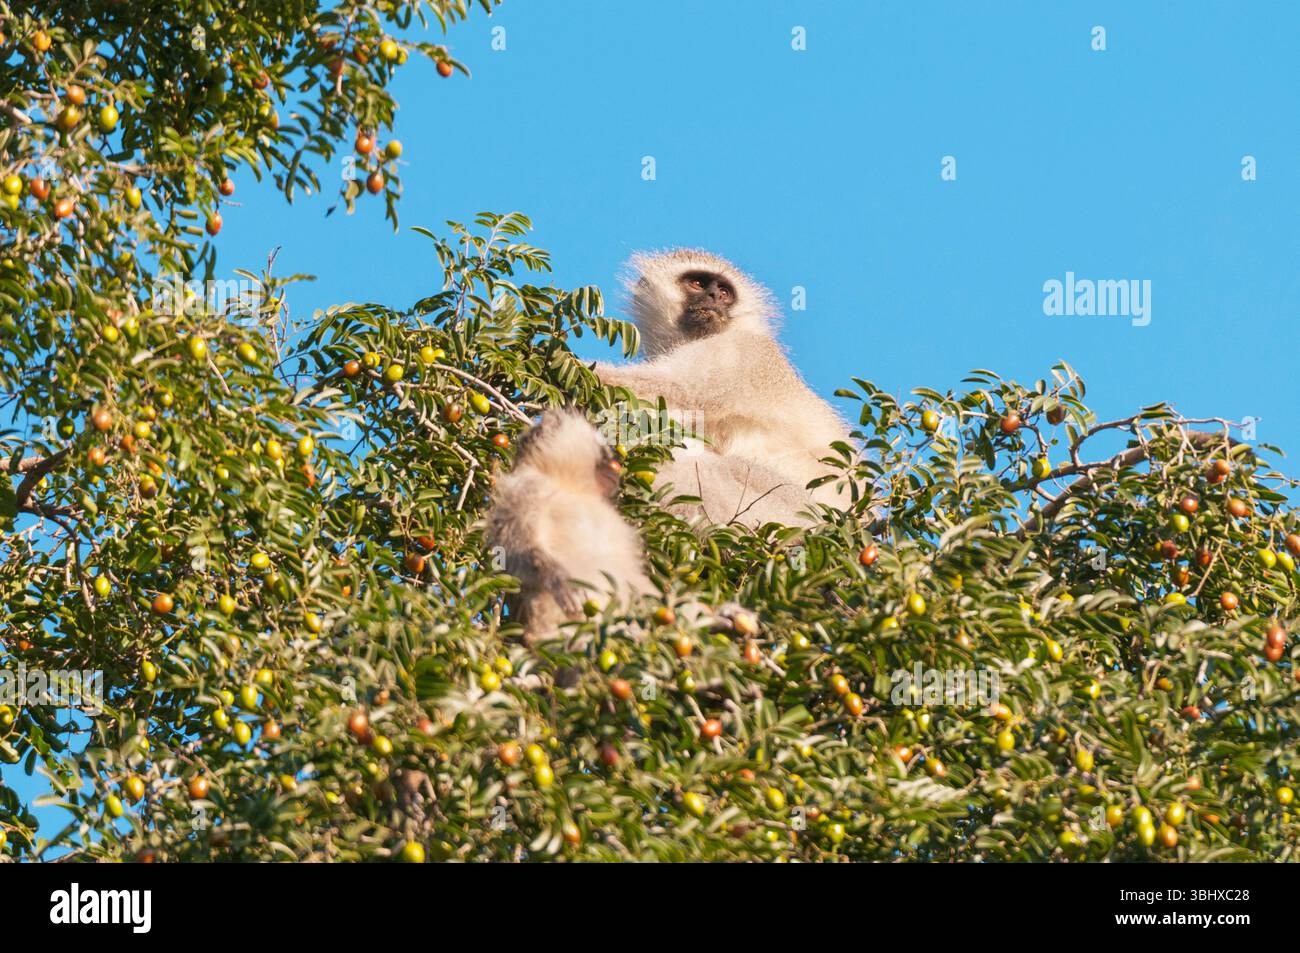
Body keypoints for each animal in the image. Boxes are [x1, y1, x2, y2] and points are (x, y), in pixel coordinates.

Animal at [485, 409, 653, 644]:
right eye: (604, 453)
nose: (616, 466)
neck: (567, 485)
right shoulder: (525, 489)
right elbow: (513, 550)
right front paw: (559, 580)